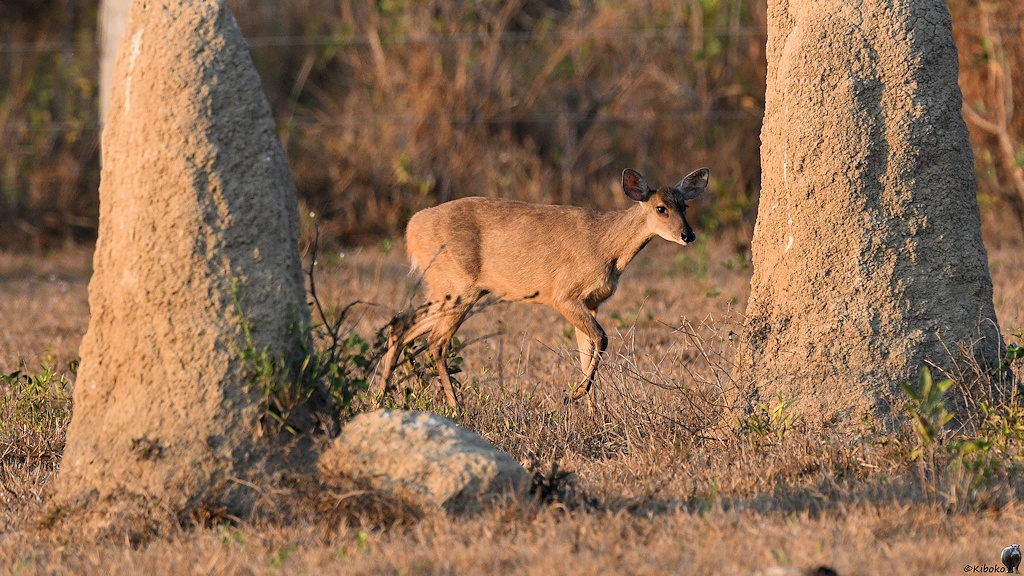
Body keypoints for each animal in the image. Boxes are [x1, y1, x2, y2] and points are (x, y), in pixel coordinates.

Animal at [375, 167, 710, 409]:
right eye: (660, 208)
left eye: (685, 205)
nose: (688, 235)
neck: (607, 248)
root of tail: (412, 228)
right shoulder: (563, 295)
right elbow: (602, 340)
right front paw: (574, 395)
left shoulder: (591, 302)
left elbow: (586, 351)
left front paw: (593, 413)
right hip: (457, 285)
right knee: (436, 341)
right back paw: (456, 408)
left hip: (446, 288)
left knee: (401, 324)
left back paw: (380, 398)